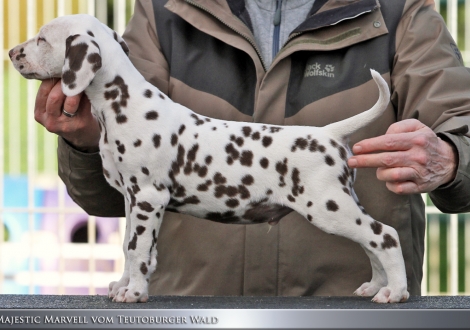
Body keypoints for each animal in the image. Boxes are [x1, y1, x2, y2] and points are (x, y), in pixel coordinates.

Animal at [9, 14, 410, 304]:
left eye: (42, 39)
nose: (12, 53)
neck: (122, 104)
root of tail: (329, 134)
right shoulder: (131, 200)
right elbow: (127, 246)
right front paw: (123, 285)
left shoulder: (148, 198)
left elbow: (137, 249)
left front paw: (134, 292)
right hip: (342, 204)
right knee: (372, 242)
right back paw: (375, 287)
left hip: (327, 207)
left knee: (386, 236)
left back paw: (395, 292)